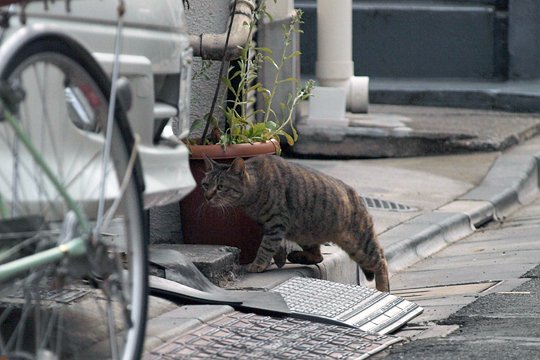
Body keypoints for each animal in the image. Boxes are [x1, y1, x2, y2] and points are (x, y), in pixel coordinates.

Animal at [200, 155, 390, 292]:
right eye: (205, 185)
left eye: (221, 187)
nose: (207, 196)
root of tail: (356, 194)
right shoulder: (267, 226)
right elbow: (274, 246)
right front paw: (279, 258)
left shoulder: (276, 223)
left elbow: (265, 248)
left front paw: (257, 265)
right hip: (306, 233)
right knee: (318, 256)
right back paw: (297, 256)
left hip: (359, 245)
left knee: (381, 260)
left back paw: (383, 289)